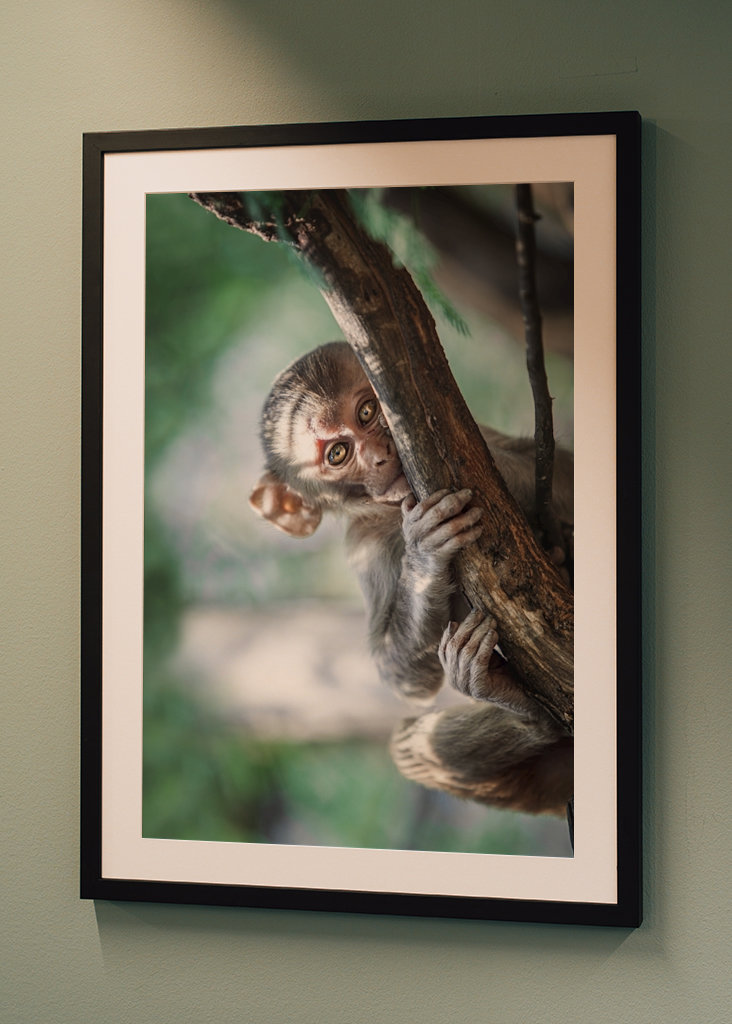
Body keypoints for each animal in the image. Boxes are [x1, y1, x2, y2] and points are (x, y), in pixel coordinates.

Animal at [249, 341, 573, 817]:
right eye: (338, 454)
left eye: (367, 412)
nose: (381, 455)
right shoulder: (366, 549)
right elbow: (404, 677)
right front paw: (424, 556)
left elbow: (565, 471)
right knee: (409, 748)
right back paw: (519, 709)